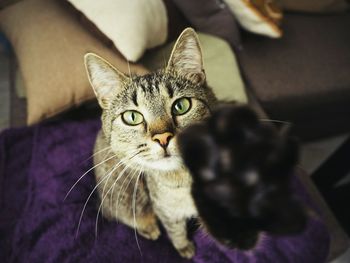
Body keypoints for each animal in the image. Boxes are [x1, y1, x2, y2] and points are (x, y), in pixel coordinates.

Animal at [85, 27, 216, 258]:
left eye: (181, 106)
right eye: (132, 117)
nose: (163, 138)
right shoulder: (166, 212)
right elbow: (175, 231)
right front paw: (184, 247)